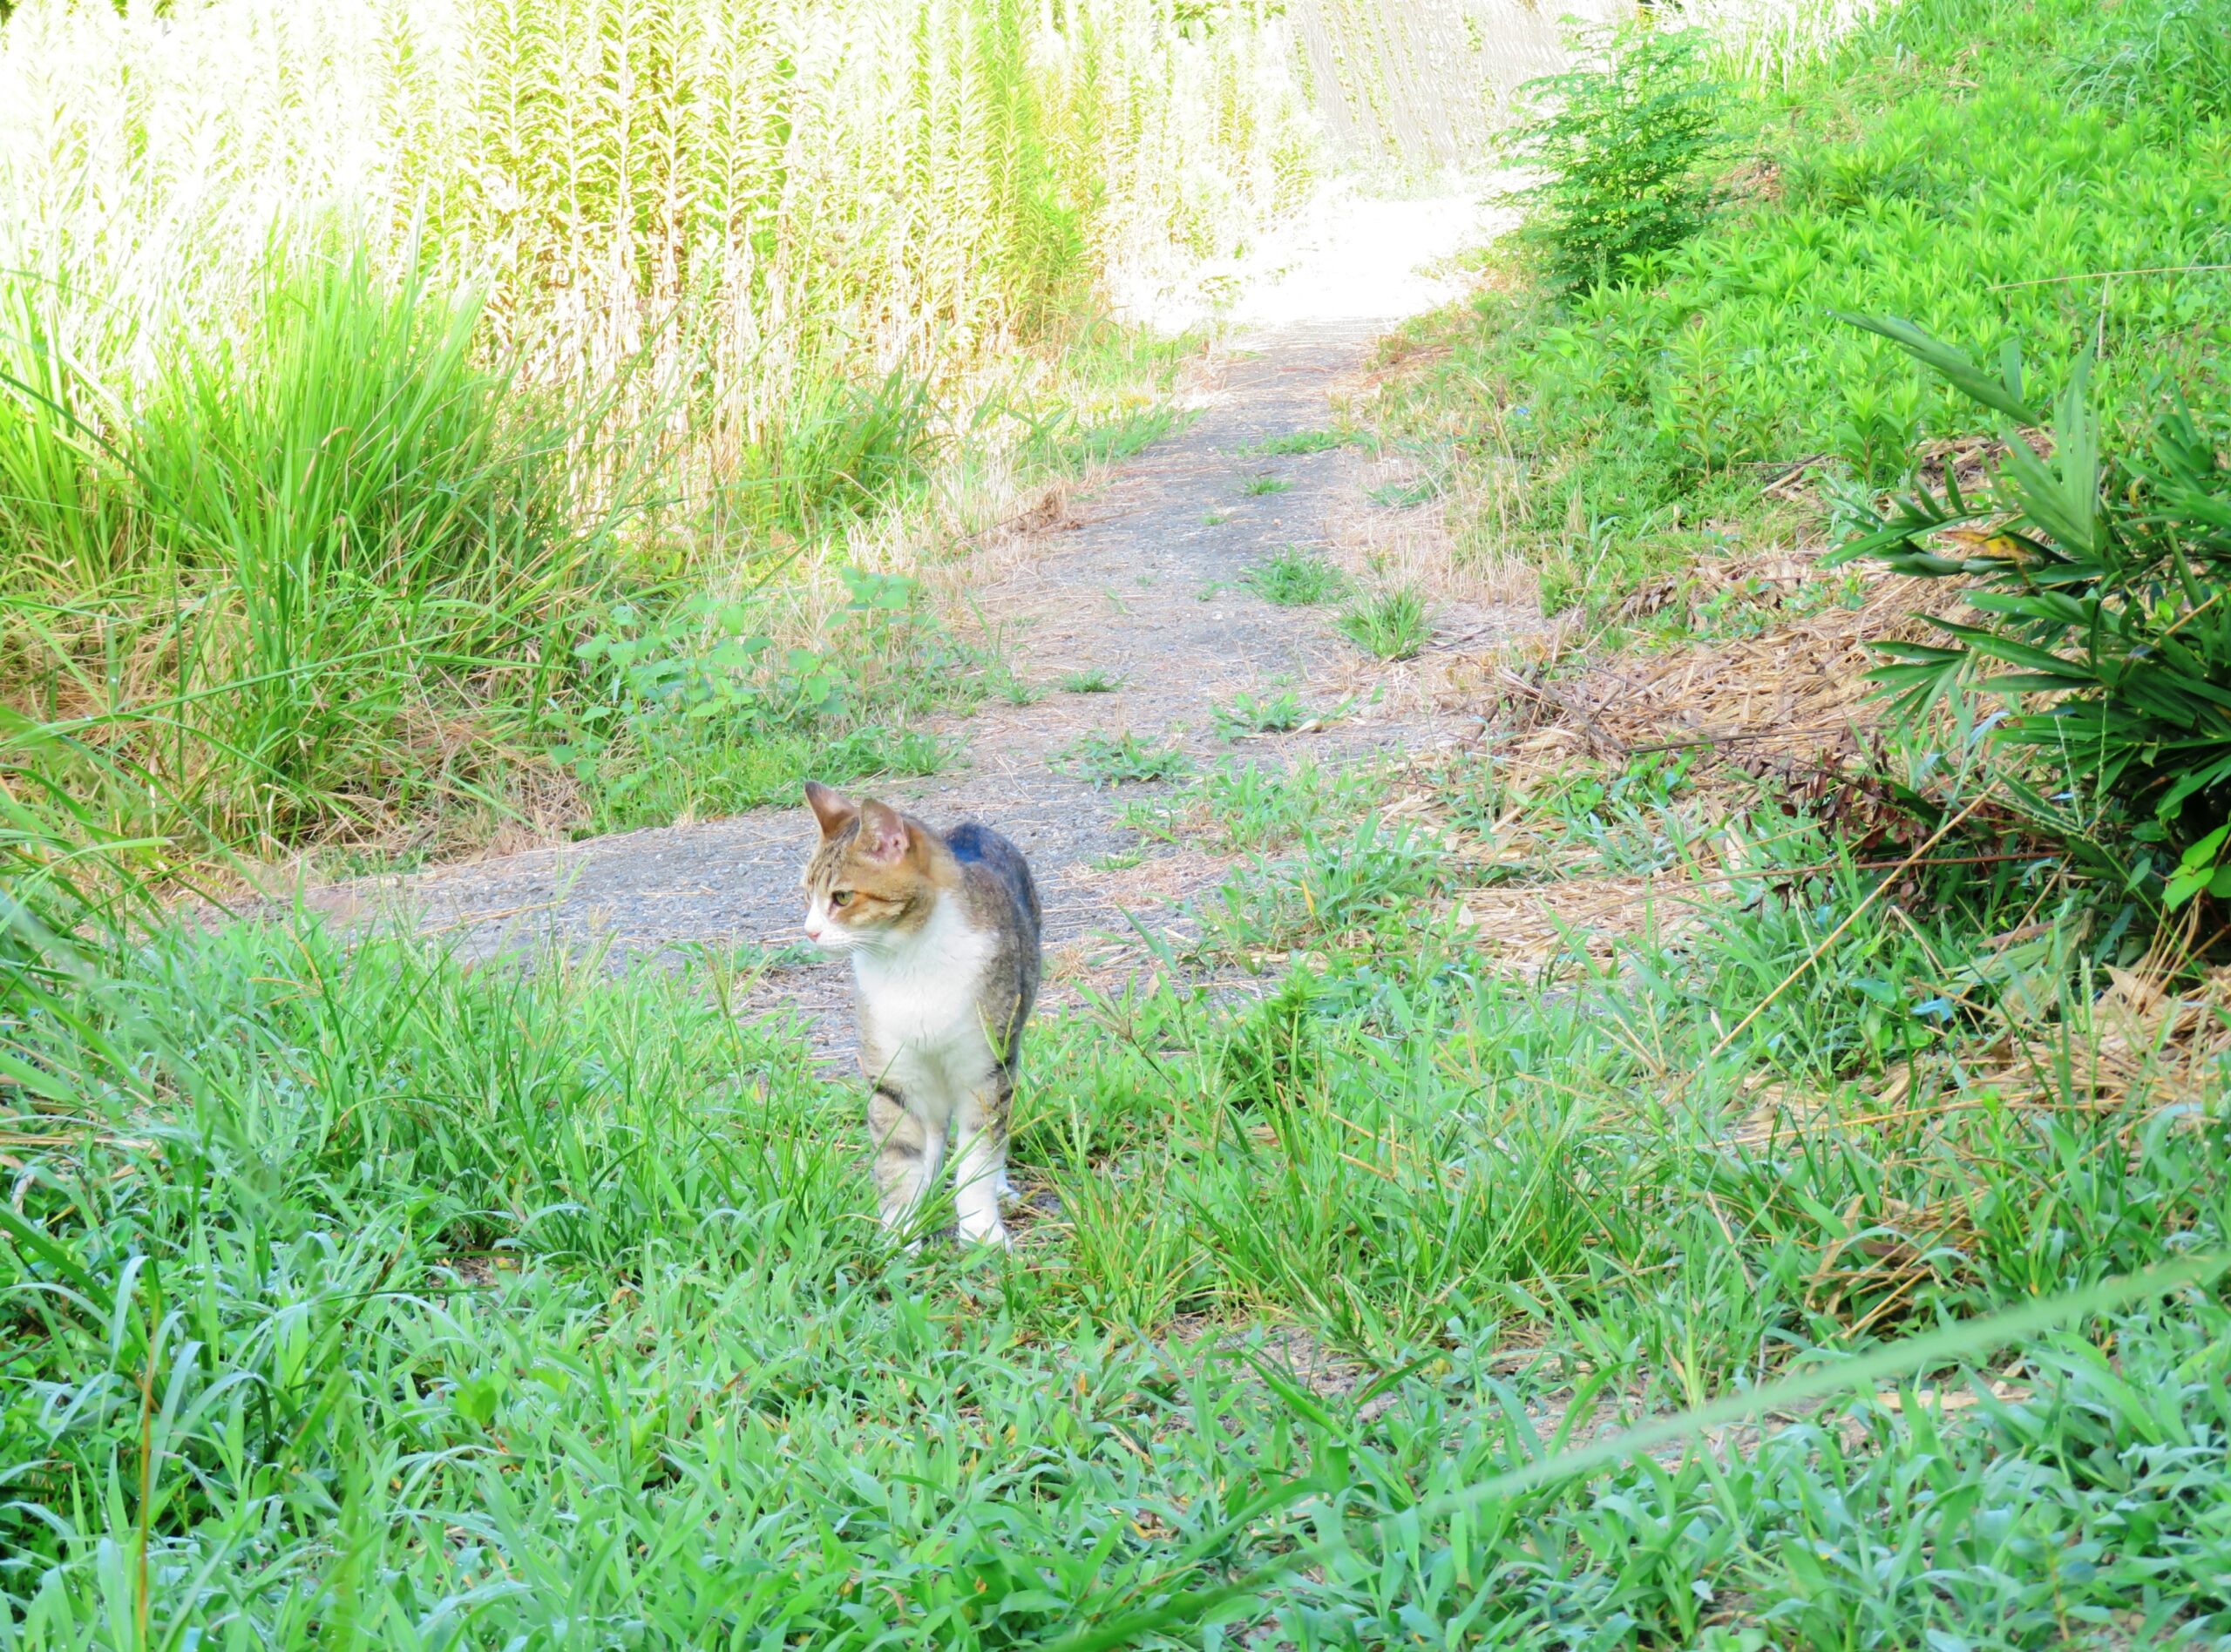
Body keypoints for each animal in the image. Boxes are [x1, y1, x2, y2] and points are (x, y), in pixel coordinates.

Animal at [803, 780, 1044, 1239]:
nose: (809, 931)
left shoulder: (985, 1067)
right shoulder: (892, 1070)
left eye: (841, 897)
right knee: (931, 1128)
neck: (908, 963)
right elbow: (897, 1156)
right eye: (807, 895)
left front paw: (981, 1232)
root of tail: (969, 829)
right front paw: (899, 1234)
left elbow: (979, 1156)